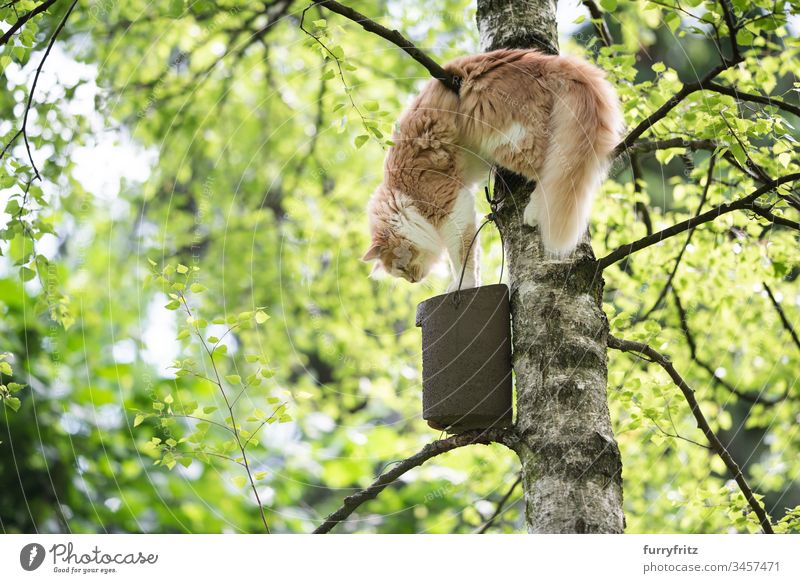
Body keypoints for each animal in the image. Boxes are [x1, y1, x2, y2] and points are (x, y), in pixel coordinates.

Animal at [364, 49, 624, 290]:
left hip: (509, 141)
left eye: (400, 267)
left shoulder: (453, 206)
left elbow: (462, 257)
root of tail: (546, 61)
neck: (400, 193)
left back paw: (534, 212)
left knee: (551, 175)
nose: (413, 280)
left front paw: (464, 284)